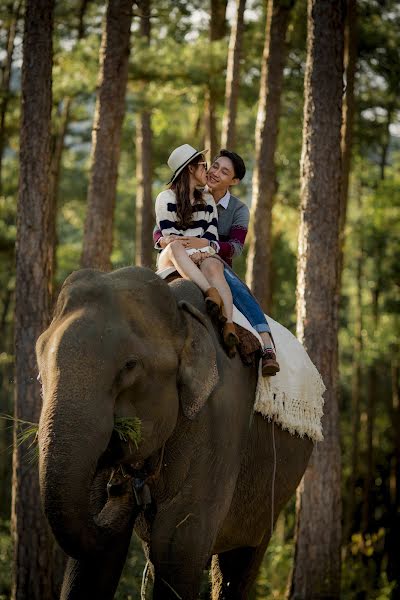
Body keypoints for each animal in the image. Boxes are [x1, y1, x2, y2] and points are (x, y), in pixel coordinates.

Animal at [36, 268, 312, 600]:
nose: (121, 486)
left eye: (130, 365)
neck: (182, 319)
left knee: (241, 559)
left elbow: (178, 542)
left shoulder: (222, 418)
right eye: (40, 363)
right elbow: (96, 556)